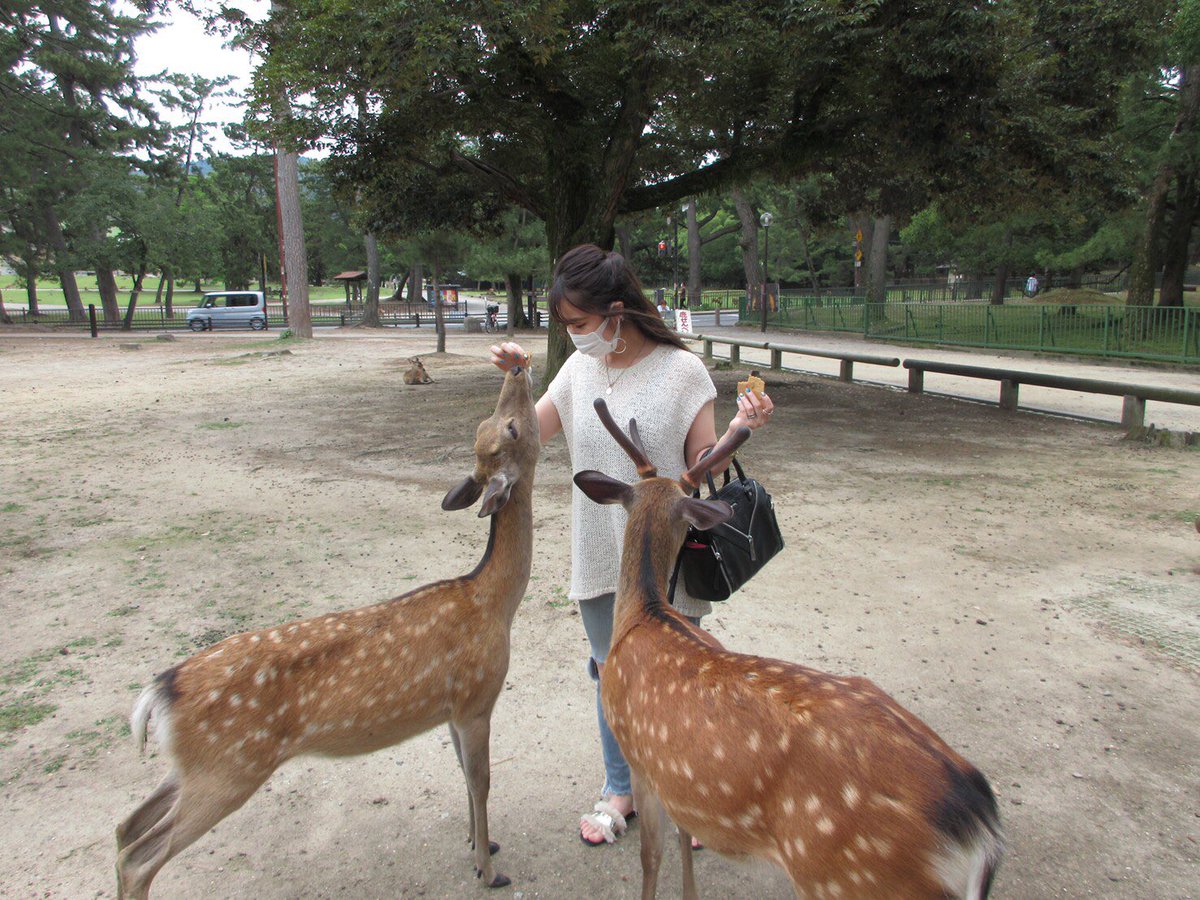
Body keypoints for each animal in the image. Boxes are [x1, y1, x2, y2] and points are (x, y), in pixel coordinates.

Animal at [115, 362, 539, 898]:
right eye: (509, 426)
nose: (518, 366)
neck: (493, 602)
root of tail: (159, 691)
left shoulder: (449, 709)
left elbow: (462, 774)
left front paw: (476, 844)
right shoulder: (476, 697)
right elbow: (481, 781)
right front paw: (488, 868)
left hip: (193, 766)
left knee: (125, 825)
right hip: (228, 769)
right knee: (139, 856)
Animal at [573, 398, 1003, 899]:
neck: (643, 615)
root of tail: (980, 830)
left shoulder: (641, 758)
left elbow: (652, 855)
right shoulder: (679, 781)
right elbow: (684, 842)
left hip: (842, 874)